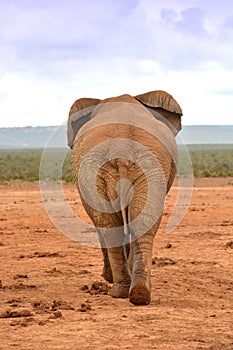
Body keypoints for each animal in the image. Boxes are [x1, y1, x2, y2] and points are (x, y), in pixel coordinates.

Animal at [66, 89, 183, 304]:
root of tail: (121, 149)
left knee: (111, 225)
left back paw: (124, 291)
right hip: (140, 167)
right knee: (132, 222)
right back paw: (136, 293)